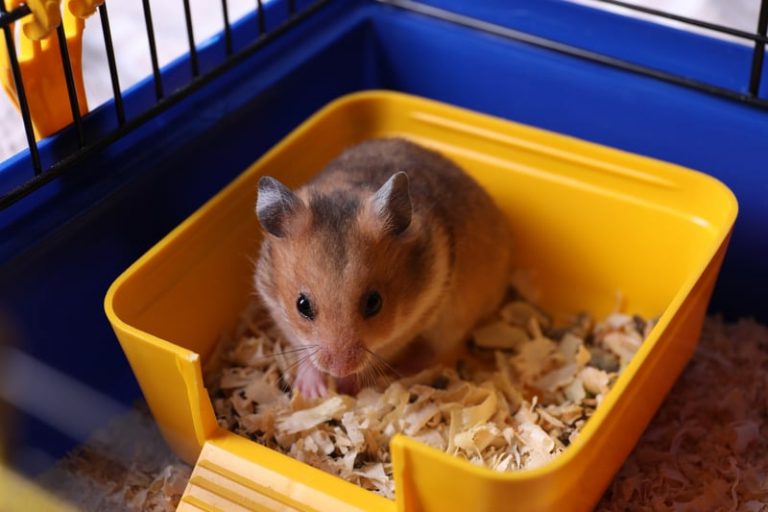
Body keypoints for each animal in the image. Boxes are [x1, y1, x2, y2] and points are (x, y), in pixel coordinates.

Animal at [254, 138, 512, 398]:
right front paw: (312, 392)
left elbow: (380, 354)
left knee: (438, 351)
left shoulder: (415, 319)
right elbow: (304, 351)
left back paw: (405, 368)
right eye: (302, 305)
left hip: (458, 317)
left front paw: (346, 387)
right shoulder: (278, 311)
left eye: (374, 303)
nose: (339, 369)